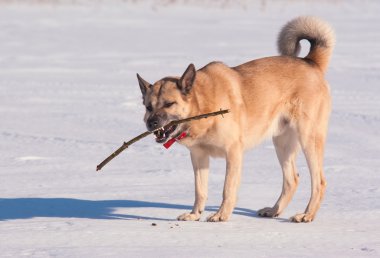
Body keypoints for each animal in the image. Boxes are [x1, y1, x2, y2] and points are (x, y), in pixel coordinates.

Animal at [137, 16, 336, 222]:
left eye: (169, 104)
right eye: (148, 107)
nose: (151, 123)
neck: (203, 106)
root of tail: (310, 62)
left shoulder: (233, 152)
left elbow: (228, 189)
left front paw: (221, 215)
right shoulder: (199, 156)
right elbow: (200, 190)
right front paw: (194, 215)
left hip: (308, 139)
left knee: (319, 182)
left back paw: (307, 214)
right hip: (282, 142)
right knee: (291, 180)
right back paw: (274, 210)